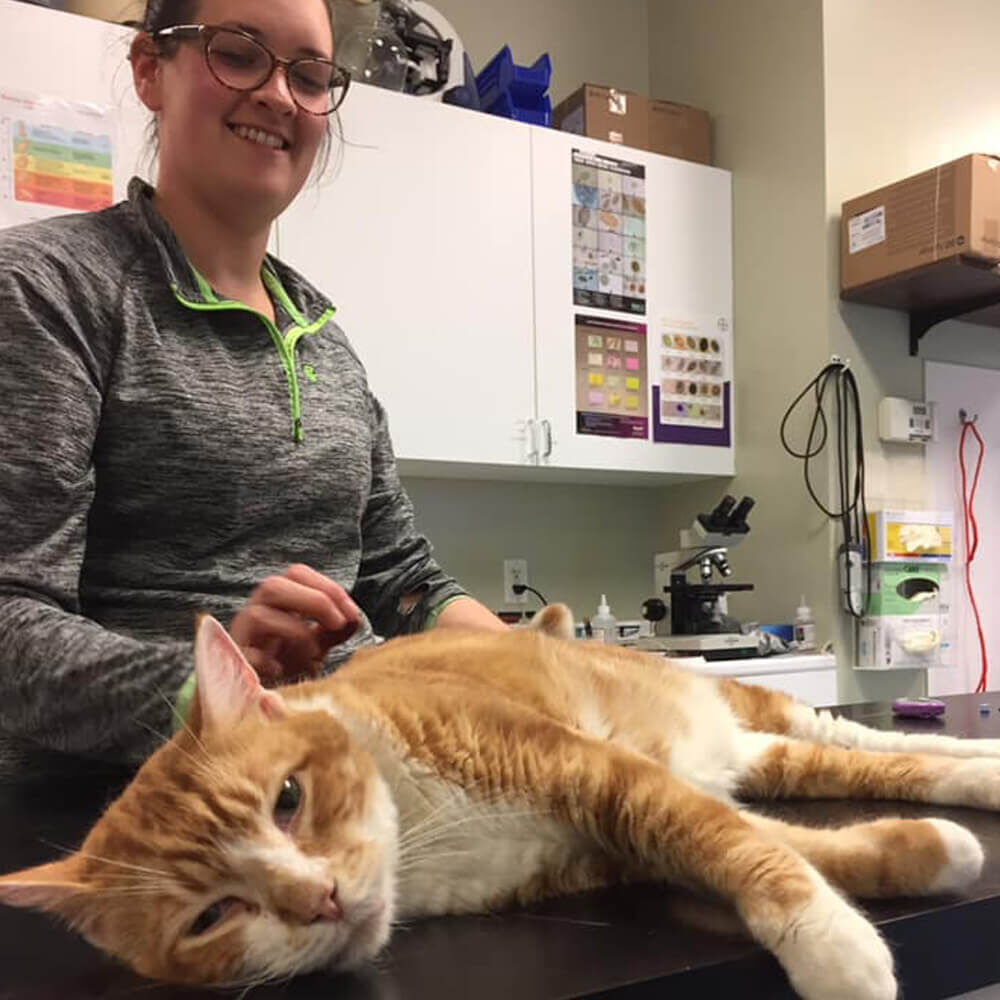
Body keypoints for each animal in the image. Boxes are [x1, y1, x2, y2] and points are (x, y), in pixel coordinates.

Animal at [0, 600, 992, 1000]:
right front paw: (930, 857)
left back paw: (976, 755)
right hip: (751, 752)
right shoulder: (609, 850)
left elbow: (733, 843)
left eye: (287, 799)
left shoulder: (597, 775)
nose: (320, 900)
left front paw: (834, 952)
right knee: (852, 766)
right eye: (209, 918)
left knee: (871, 741)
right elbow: (783, 843)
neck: (423, 829)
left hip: (757, 709)